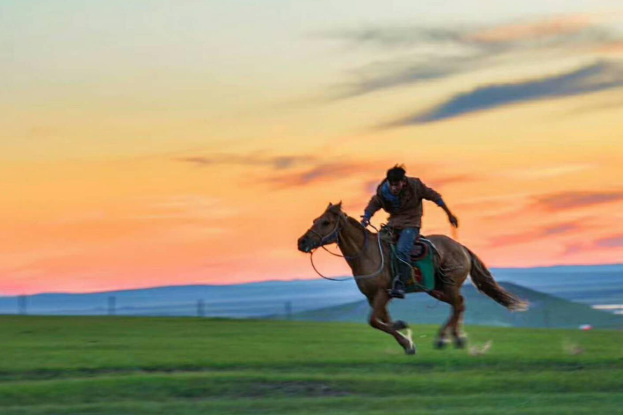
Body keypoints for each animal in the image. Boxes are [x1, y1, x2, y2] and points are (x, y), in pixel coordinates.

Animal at [298, 203, 528, 356]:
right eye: (315, 221)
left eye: (326, 222)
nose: (302, 242)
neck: (367, 253)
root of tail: (461, 248)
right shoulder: (374, 297)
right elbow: (384, 321)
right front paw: (405, 337)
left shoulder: (381, 294)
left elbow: (374, 321)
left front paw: (407, 342)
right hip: (437, 289)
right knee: (459, 305)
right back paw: (456, 338)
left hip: (449, 286)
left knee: (458, 304)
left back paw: (444, 339)